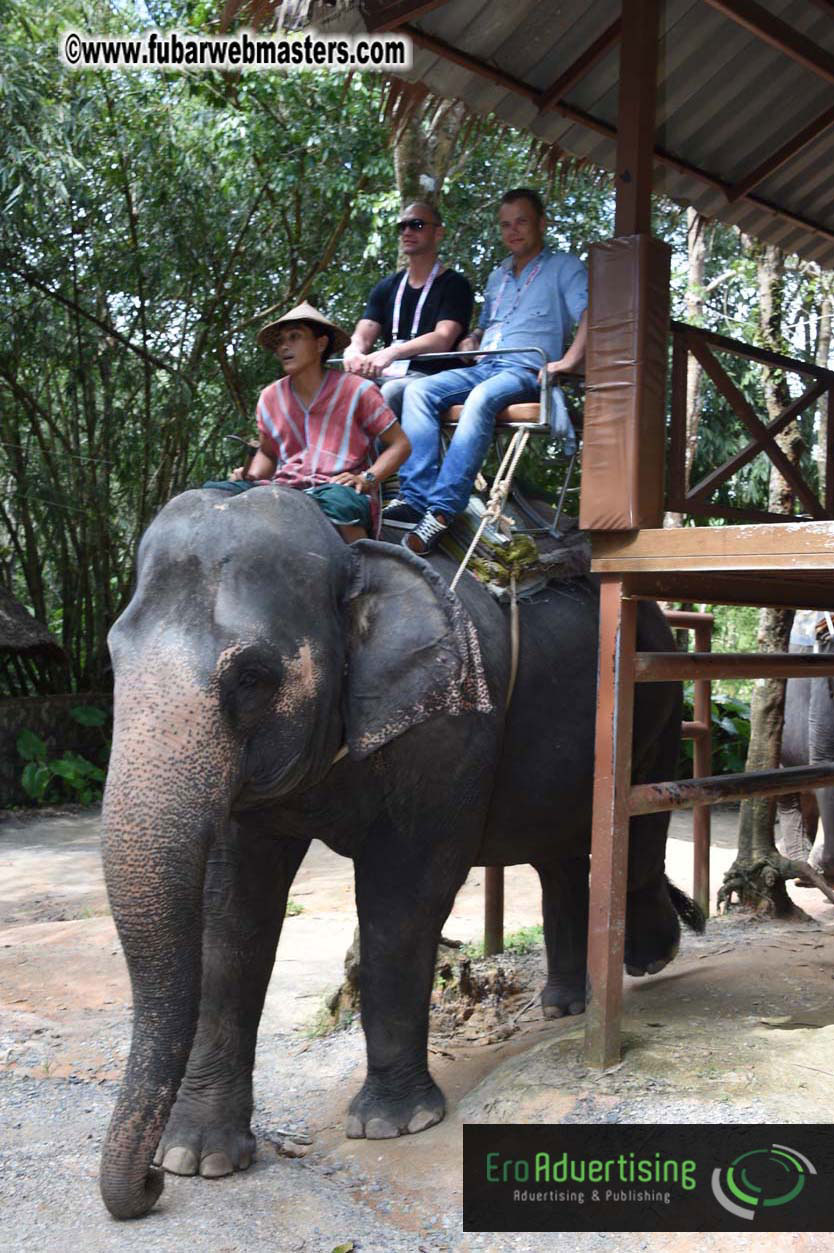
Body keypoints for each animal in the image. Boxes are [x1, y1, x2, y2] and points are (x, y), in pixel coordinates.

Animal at [98, 484, 701, 1220]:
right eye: (112, 658)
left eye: (251, 676)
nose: (148, 1187)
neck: (349, 553)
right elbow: (230, 913)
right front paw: (199, 1159)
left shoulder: (448, 727)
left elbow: (402, 897)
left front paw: (394, 1124)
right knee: (557, 852)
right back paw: (565, 1006)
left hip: (655, 689)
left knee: (640, 817)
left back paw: (649, 959)